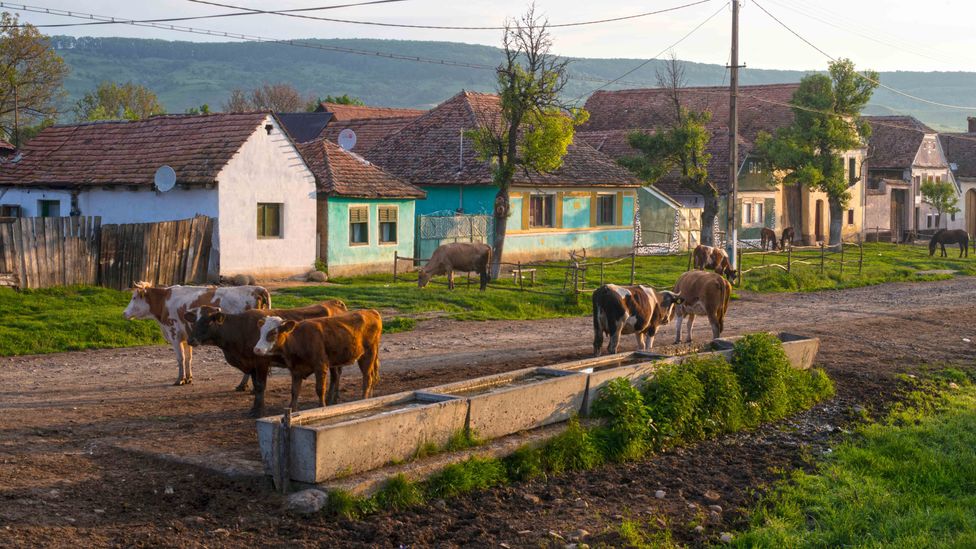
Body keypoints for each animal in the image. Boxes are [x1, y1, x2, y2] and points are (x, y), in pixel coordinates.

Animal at [185, 300, 348, 416]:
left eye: (208, 321)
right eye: (194, 321)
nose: (191, 340)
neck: (240, 329)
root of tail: (335, 303)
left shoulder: (261, 362)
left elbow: (261, 386)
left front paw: (259, 411)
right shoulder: (251, 365)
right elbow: (256, 385)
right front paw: (255, 408)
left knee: (335, 375)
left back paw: (330, 399)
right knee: (337, 374)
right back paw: (335, 398)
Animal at [252, 308, 382, 412]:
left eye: (273, 332)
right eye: (261, 332)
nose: (257, 349)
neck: (299, 339)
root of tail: (371, 311)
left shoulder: (320, 366)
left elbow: (320, 389)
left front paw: (321, 407)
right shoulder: (296, 370)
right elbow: (294, 391)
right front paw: (292, 410)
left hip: (368, 354)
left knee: (367, 378)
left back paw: (364, 399)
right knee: (371, 376)